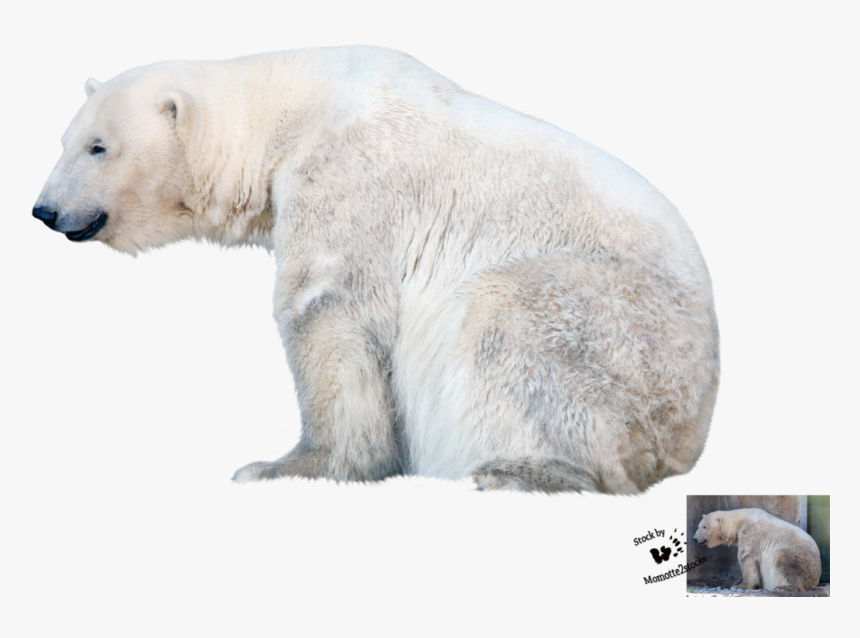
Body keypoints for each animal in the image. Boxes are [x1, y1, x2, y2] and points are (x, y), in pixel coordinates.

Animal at [32, 46, 719, 493]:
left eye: (99, 146)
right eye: (64, 141)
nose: (44, 210)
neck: (289, 111)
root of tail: (689, 440)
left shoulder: (347, 177)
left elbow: (329, 312)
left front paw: (287, 468)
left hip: (623, 337)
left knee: (509, 320)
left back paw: (516, 470)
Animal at [694, 508, 822, 592]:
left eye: (705, 527)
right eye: (698, 526)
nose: (694, 539)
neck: (741, 520)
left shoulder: (751, 532)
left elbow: (747, 558)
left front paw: (741, 586)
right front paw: (738, 582)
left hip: (803, 561)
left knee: (783, 560)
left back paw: (782, 587)